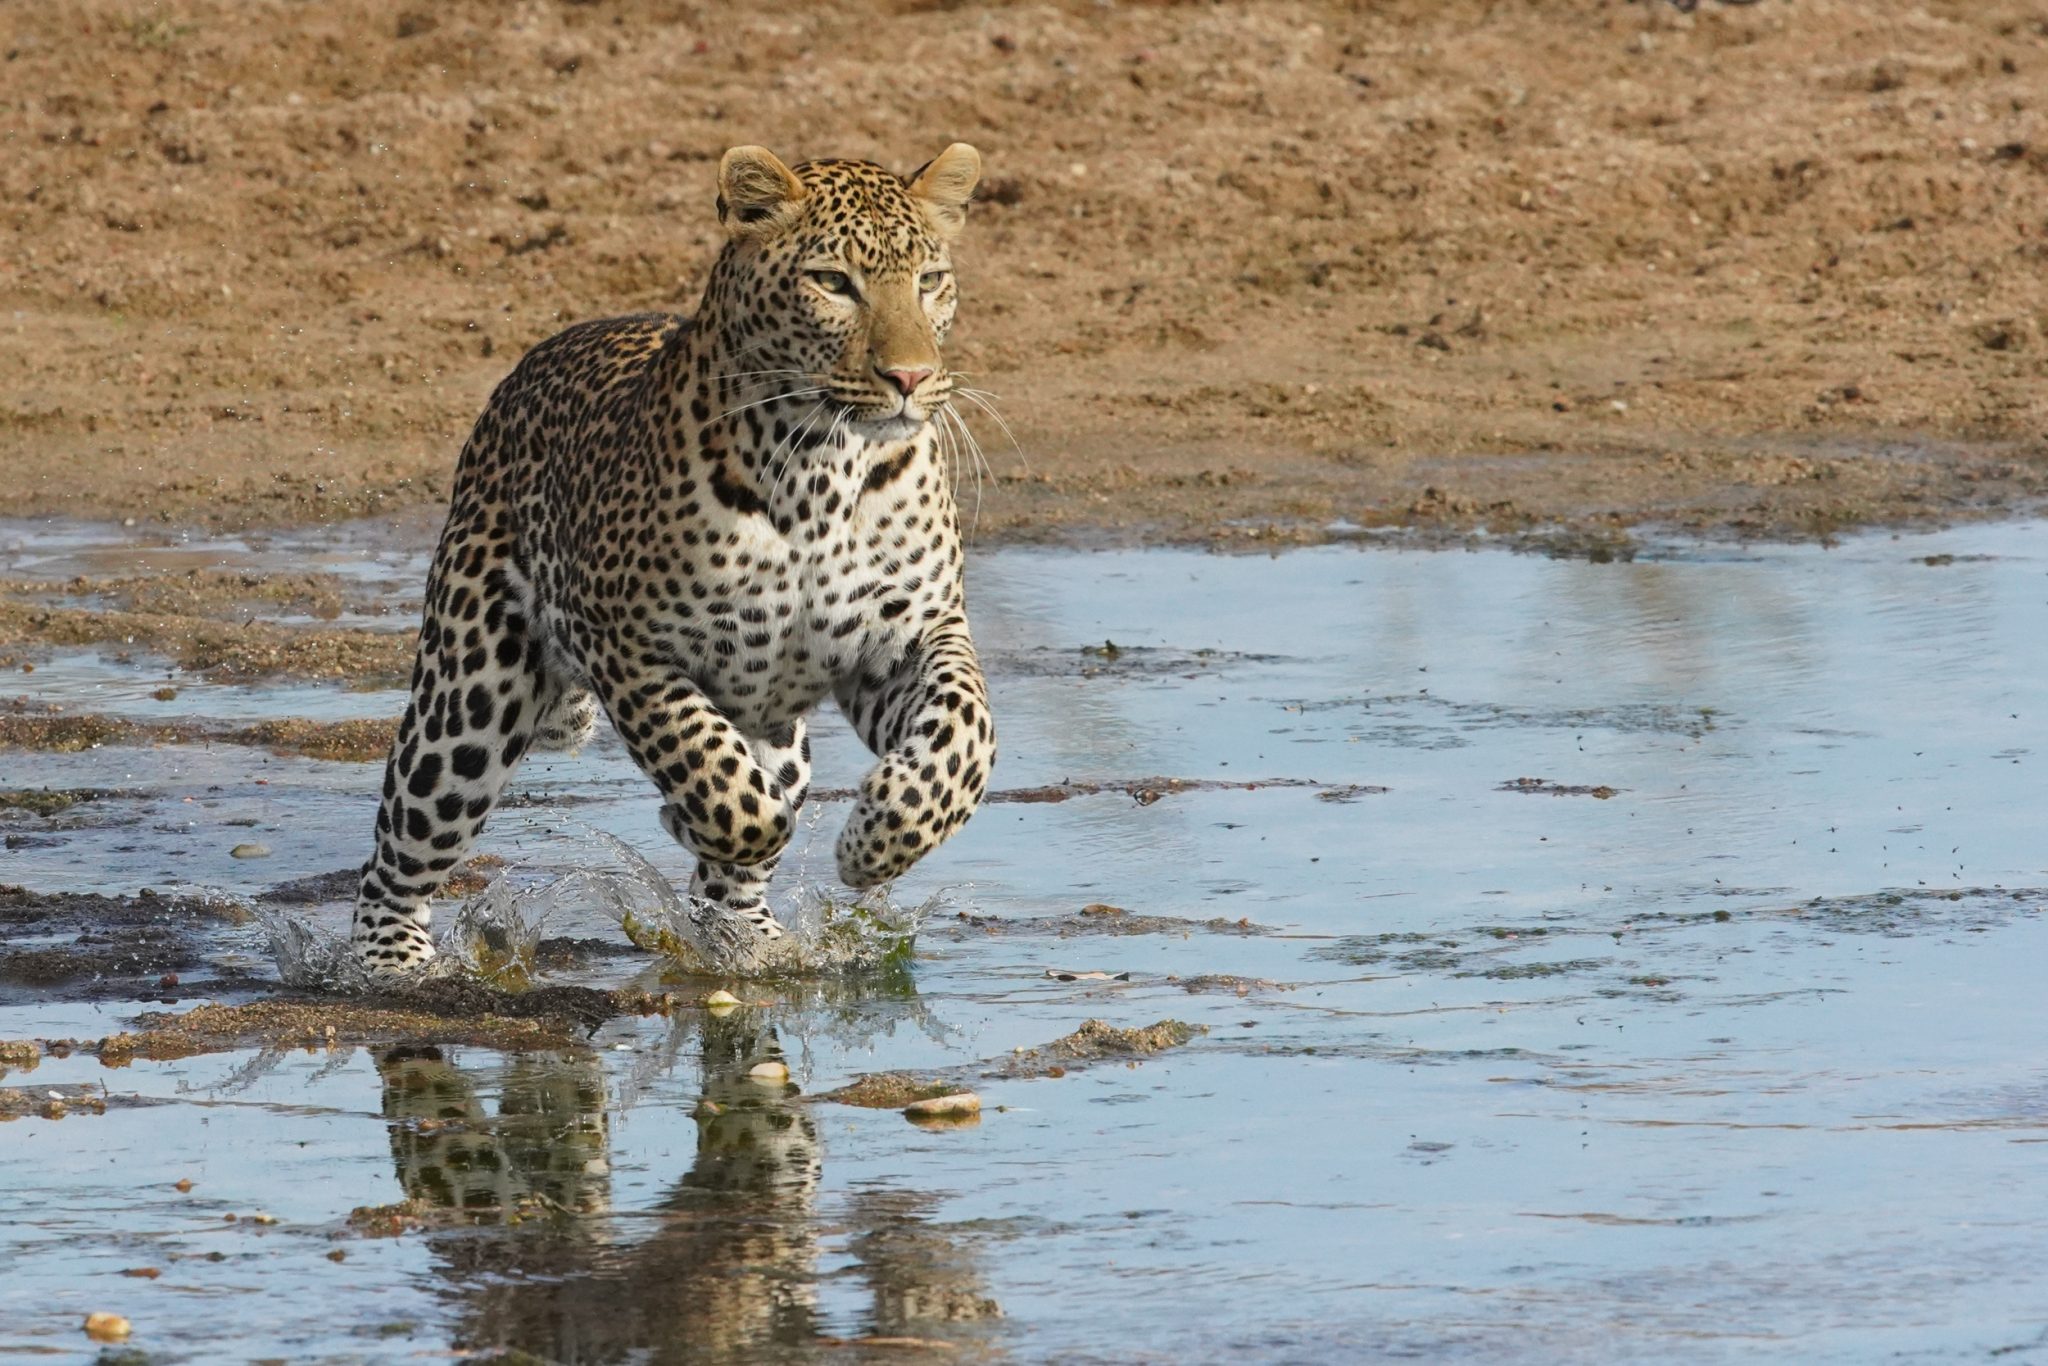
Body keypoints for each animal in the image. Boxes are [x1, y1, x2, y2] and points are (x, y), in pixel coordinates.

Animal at [351, 143, 999, 970]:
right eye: (832, 283)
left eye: (929, 280)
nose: (911, 378)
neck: (825, 466)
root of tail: (520, 374)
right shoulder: (628, 646)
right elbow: (719, 780)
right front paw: (715, 819)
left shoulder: (912, 636)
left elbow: (965, 737)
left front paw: (878, 844)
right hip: (469, 696)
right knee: (403, 839)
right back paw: (391, 964)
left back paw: (749, 944)